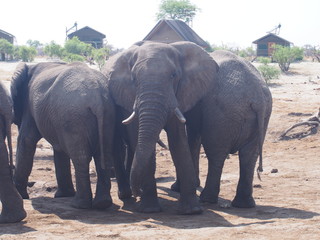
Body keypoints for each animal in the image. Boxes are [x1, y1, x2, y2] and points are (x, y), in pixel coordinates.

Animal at [11, 61, 116, 209]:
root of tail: (98, 99)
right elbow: (59, 148)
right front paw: (63, 195)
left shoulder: (29, 106)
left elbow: (26, 140)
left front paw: (22, 196)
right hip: (107, 113)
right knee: (103, 155)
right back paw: (102, 203)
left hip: (73, 116)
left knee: (81, 157)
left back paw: (79, 204)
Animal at [102, 40, 220, 214]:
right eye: (134, 79)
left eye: (173, 76)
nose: (138, 193)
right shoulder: (129, 97)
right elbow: (140, 139)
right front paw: (149, 210)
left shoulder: (178, 94)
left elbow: (178, 142)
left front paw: (192, 211)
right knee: (119, 145)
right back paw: (127, 194)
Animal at [172, 49, 272, 208]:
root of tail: (258, 97)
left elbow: (192, 134)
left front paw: (177, 188)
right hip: (262, 115)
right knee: (249, 155)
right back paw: (243, 204)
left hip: (222, 114)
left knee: (216, 152)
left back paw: (207, 199)